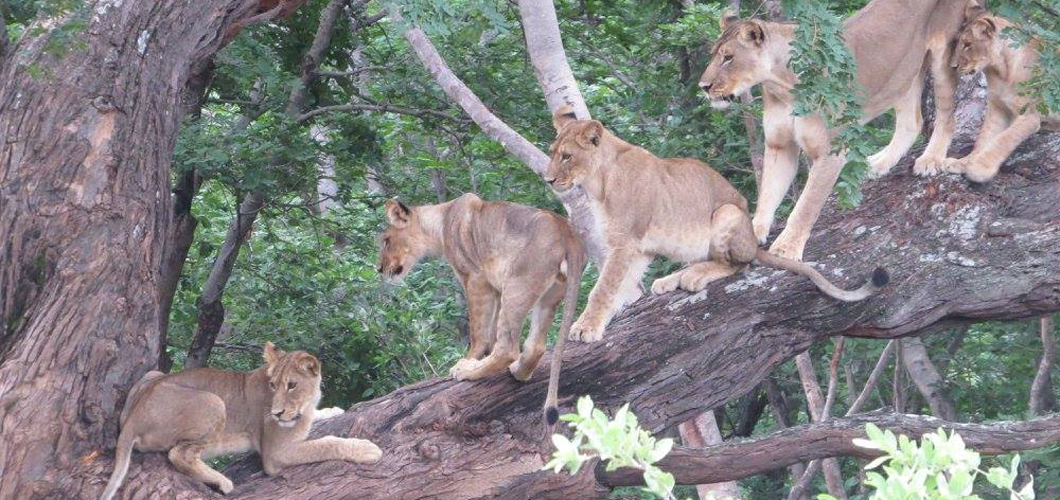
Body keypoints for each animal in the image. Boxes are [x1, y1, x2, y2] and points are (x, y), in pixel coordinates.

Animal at [99, 343, 381, 499]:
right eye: (273, 385)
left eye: (291, 385)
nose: (276, 413)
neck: (303, 405)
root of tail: (133, 418)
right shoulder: (276, 453)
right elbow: (327, 443)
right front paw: (366, 449)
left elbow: (319, 416)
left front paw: (333, 410)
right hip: (214, 401)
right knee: (179, 454)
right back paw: (222, 481)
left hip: (152, 374)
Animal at [377, 194, 585, 421]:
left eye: (386, 241)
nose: (378, 269)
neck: (440, 222)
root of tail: (567, 234)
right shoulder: (494, 287)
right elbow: (491, 330)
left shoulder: (476, 278)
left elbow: (478, 330)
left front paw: (470, 358)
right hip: (548, 295)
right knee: (535, 346)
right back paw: (518, 371)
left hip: (517, 285)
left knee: (507, 349)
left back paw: (467, 370)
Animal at [546, 109, 886, 343]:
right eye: (551, 154)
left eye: (567, 156)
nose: (548, 180)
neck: (596, 184)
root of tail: (752, 240)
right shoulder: (636, 249)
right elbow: (621, 287)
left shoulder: (625, 243)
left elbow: (602, 288)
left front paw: (584, 327)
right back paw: (672, 279)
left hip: (727, 213)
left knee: (735, 264)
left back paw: (694, 277)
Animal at [699, 1, 970, 261]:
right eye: (712, 55)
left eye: (728, 57)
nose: (703, 86)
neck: (782, 86)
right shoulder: (780, 145)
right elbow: (768, 193)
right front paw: (753, 231)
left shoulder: (830, 151)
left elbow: (806, 205)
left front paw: (787, 248)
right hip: (904, 72)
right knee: (911, 122)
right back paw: (877, 164)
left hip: (943, 51)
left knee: (947, 116)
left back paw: (930, 159)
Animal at [941, 2, 1055, 182]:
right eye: (959, 42)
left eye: (967, 44)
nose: (953, 66)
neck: (1000, 72)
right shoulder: (998, 109)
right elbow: (984, 139)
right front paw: (963, 163)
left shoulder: (1029, 115)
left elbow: (1004, 140)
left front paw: (979, 168)